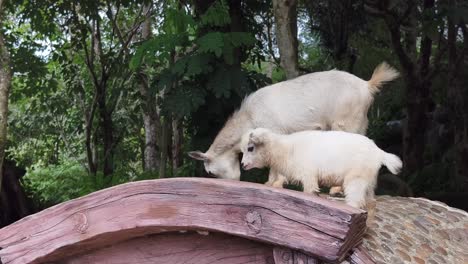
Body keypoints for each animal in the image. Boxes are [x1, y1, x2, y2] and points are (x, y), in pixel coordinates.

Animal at [189, 62, 398, 183]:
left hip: (347, 123)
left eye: (210, 172)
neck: (249, 116)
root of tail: (367, 85)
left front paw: (273, 183)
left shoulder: (274, 133)